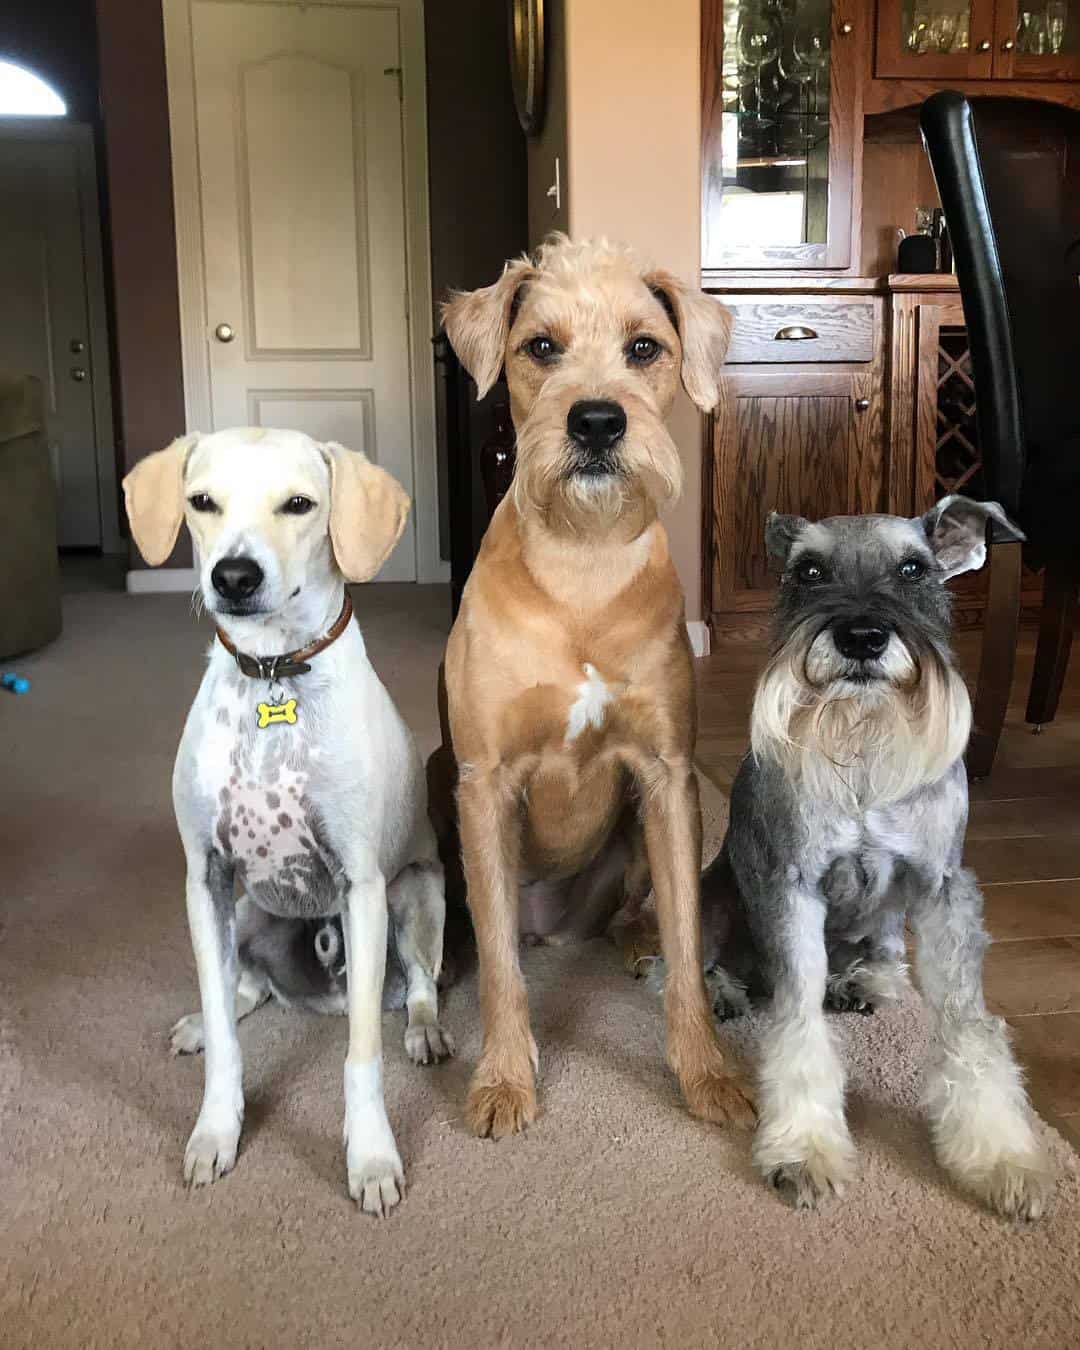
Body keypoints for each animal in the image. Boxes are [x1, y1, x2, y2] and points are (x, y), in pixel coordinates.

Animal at [124, 423, 453, 1215]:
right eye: (201, 502)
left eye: (299, 504)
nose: (234, 576)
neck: (273, 673)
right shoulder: (207, 880)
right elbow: (226, 1030)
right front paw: (217, 1129)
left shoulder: (363, 889)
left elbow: (362, 1054)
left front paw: (371, 1158)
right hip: (247, 908)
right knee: (245, 986)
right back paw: (204, 1023)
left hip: (417, 892)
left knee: (421, 984)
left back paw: (426, 1034)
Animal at [437, 234, 750, 1139]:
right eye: (540, 346)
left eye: (644, 347)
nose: (599, 421)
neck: (583, 565)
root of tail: (556, 928)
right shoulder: (484, 785)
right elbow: (501, 973)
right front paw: (504, 1080)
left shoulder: (669, 778)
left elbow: (689, 940)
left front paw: (707, 1074)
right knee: (490, 937)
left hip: (637, 839)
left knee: (637, 916)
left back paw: (635, 937)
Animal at [702, 499, 1053, 1225]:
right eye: (808, 570)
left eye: (913, 568)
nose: (862, 637)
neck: (862, 743)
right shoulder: (791, 887)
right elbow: (798, 1016)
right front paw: (805, 1149)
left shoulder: (945, 888)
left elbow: (967, 1023)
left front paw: (1002, 1157)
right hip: (712, 896)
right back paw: (725, 990)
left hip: (891, 915)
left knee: (885, 950)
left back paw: (867, 981)